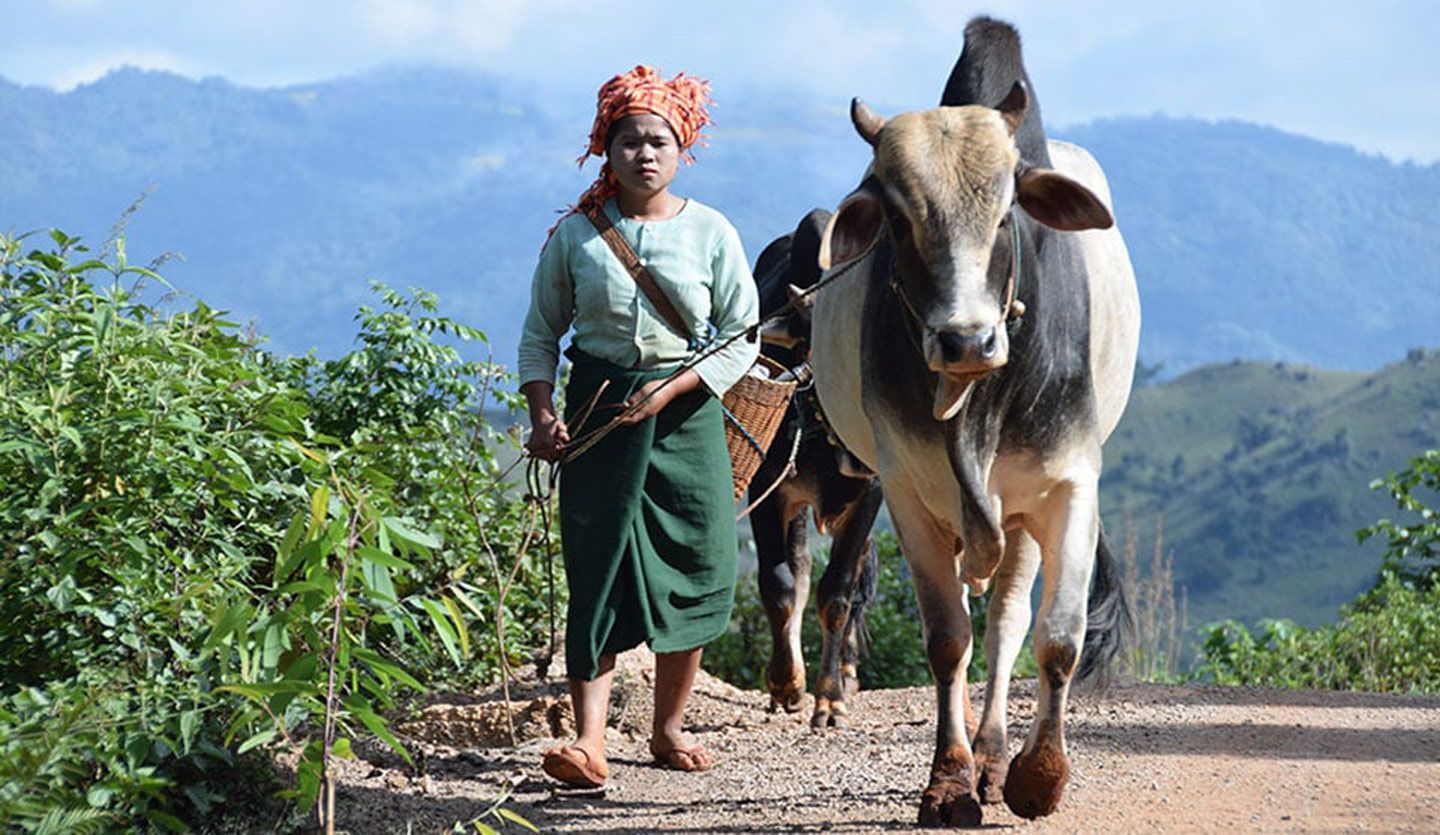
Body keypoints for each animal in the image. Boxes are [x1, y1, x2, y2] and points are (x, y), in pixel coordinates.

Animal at [748, 209, 885, 729]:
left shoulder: (871, 493)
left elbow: (838, 593)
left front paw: (830, 699)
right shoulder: (767, 488)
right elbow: (781, 583)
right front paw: (787, 683)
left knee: (855, 581)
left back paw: (845, 670)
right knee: (801, 568)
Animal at [809, 17, 1139, 826]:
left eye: (1006, 209)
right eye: (898, 218)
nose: (966, 341)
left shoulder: (1071, 483)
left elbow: (1056, 638)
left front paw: (1039, 776)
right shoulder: (904, 492)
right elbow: (945, 639)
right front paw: (949, 780)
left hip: (1018, 516)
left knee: (1008, 623)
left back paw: (998, 757)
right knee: (975, 625)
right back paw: (978, 760)